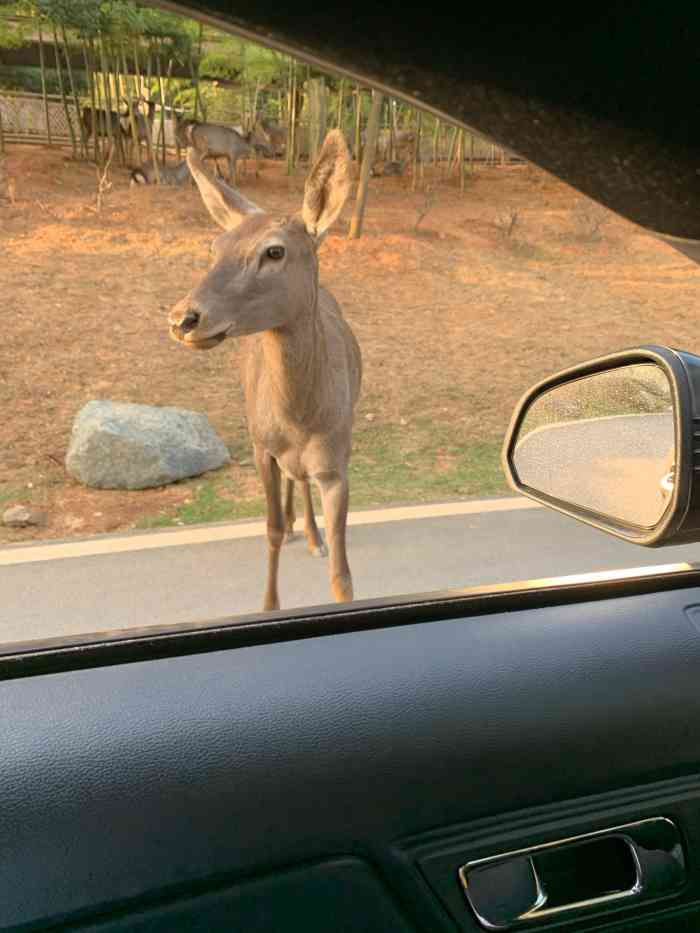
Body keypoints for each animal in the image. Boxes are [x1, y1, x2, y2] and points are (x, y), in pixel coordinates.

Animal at [168, 131, 360, 612]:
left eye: (274, 251)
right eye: (214, 247)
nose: (183, 318)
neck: (301, 419)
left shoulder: (336, 459)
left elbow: (342, 572)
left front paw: (322, 543)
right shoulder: (260, 447)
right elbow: (269, 531)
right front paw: (269, 603)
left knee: (301, 479)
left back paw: (311, 535)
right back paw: (297, 527)